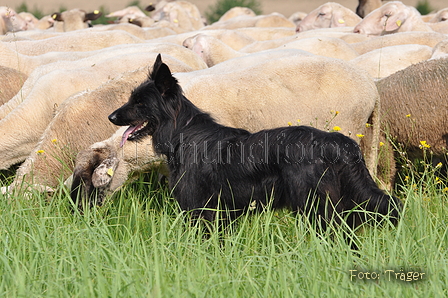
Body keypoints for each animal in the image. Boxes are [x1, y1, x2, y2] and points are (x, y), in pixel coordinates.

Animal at [76, 53, 400, 230]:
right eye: (131, 98)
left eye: (140, 103)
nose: (111, 116)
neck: (184, 134)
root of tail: (336, 142)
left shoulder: (199, 209)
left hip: (317, 207)